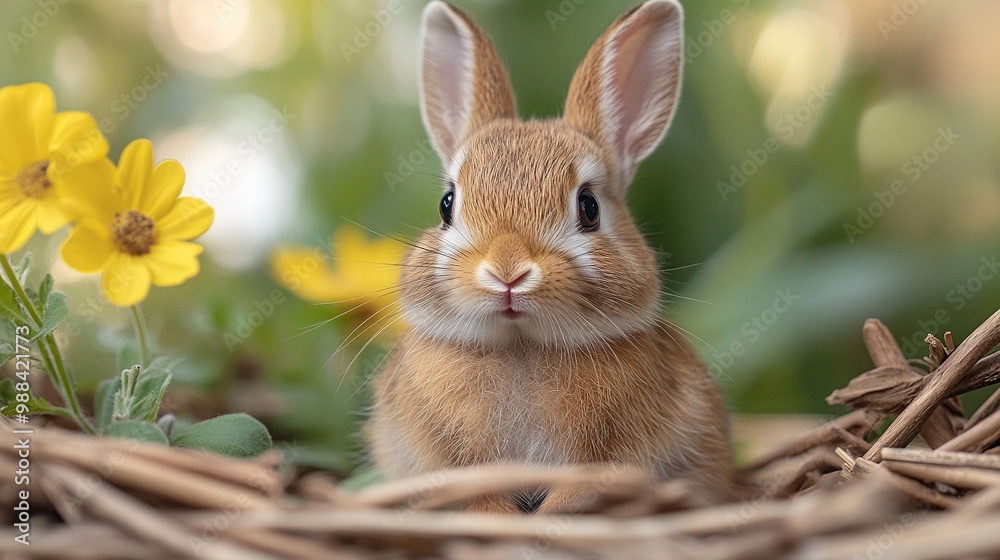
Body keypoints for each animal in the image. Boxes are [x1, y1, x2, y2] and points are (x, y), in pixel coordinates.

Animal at [366, 0, 735, 514]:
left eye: (589, 207)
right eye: (446, 205)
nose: (507, 272)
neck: (522, 345)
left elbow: (583, 486)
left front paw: (550, 516)